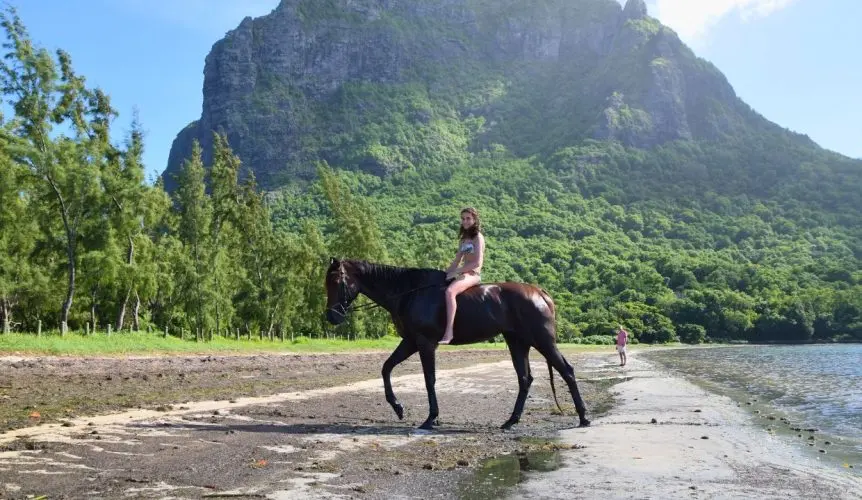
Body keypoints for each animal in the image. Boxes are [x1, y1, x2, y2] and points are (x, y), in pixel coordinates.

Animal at [324, 258, 590, 431]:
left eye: (337, 281)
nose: (331, 317)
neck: (410, 292)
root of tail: (539, 293)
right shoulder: (410, 341)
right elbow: (386, 368)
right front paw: (398, 408)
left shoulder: (425, 343)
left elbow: (429, 379)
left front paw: (431, 419)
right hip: (518, 343)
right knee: (525, 379)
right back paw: (510, 421)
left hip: (542, 341)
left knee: (566, 371)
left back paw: (583, 417)